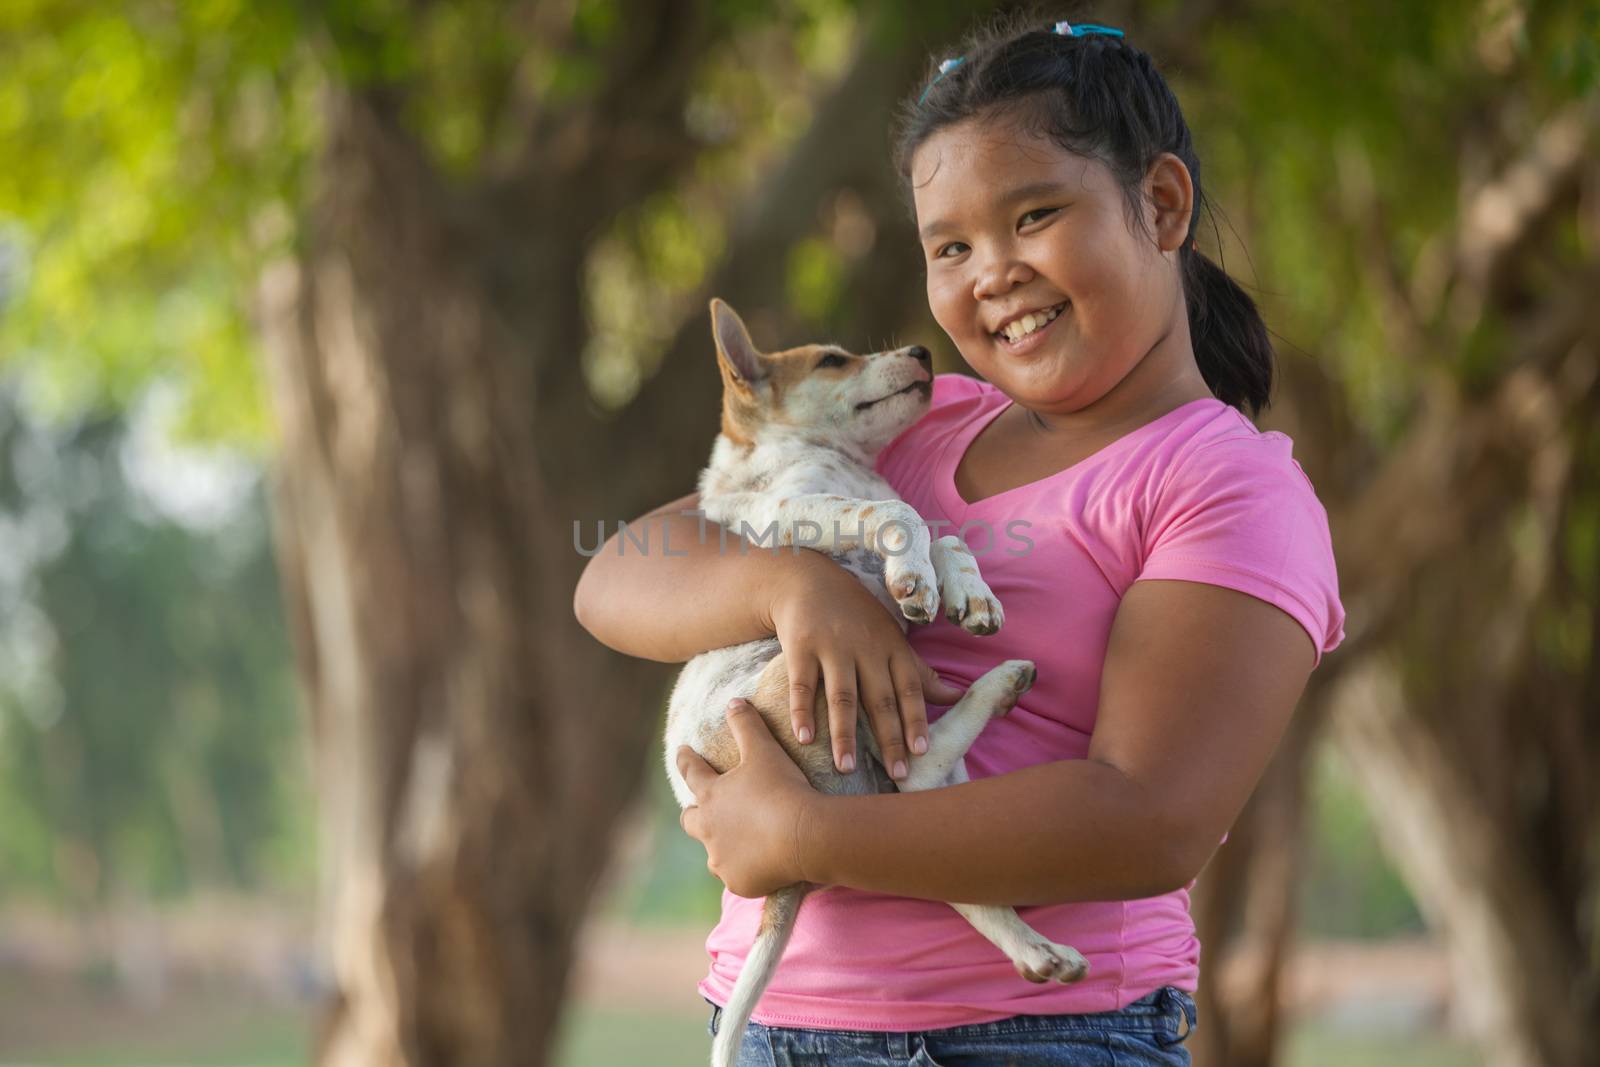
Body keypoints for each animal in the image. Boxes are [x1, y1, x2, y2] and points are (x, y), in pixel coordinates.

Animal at [662, 299, 1088, 1067]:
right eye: (833, 360)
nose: (922, 351)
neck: (839, 460)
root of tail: (789, 880)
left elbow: (943, 535)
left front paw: (969, 595)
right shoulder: (790, 515)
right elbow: (899, 516)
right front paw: (918, 577)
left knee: (927, 813)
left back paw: (1040, 951)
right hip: (800, 676)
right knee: (916, 772)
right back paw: (1001, 683)